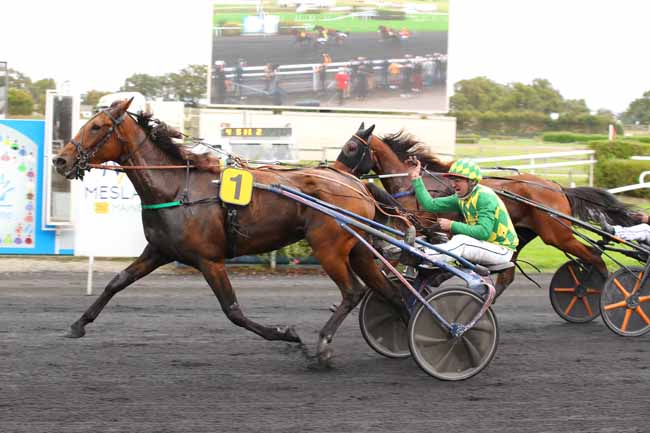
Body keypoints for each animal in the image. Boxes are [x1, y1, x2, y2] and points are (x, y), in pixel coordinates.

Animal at [54, 100, 400, 364]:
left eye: (97, 126)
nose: (61, 159)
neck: (176, 188)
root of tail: (354, 181)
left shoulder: (210, 260)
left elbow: (232, 310)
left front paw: (286, 334)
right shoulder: (159, 251)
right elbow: (117, 282)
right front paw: (77, 324)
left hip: (328, 248)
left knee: (353, 292)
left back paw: (324, 346)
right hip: (358, 250)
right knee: (388, 291)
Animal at [334, 123, 632, 296]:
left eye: (351, 147)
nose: (335, 171)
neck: (411, 184)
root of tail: (559, 188)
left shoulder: (421, 225)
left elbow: (402, 256)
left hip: (556, 234)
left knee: (594, 255)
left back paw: (598, 291)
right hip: (524, 234)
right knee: (507, 275)